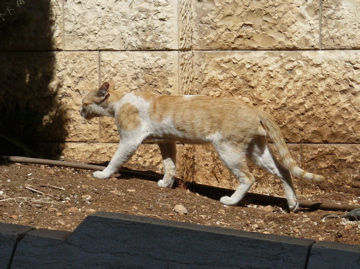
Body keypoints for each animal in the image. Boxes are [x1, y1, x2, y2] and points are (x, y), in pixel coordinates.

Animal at [81, 79, 324, 211]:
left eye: (84, 103)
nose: (79, 112)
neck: (120, 100)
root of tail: (255, 108)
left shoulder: (130, 139)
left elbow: (115, 159)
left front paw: (103, 174)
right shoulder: (166, 141)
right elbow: (170, 165)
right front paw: (166, 184)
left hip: (229, 150)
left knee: (249, 178)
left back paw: (230, 201)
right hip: (256, 151)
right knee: (283, 170)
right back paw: (292, 204)